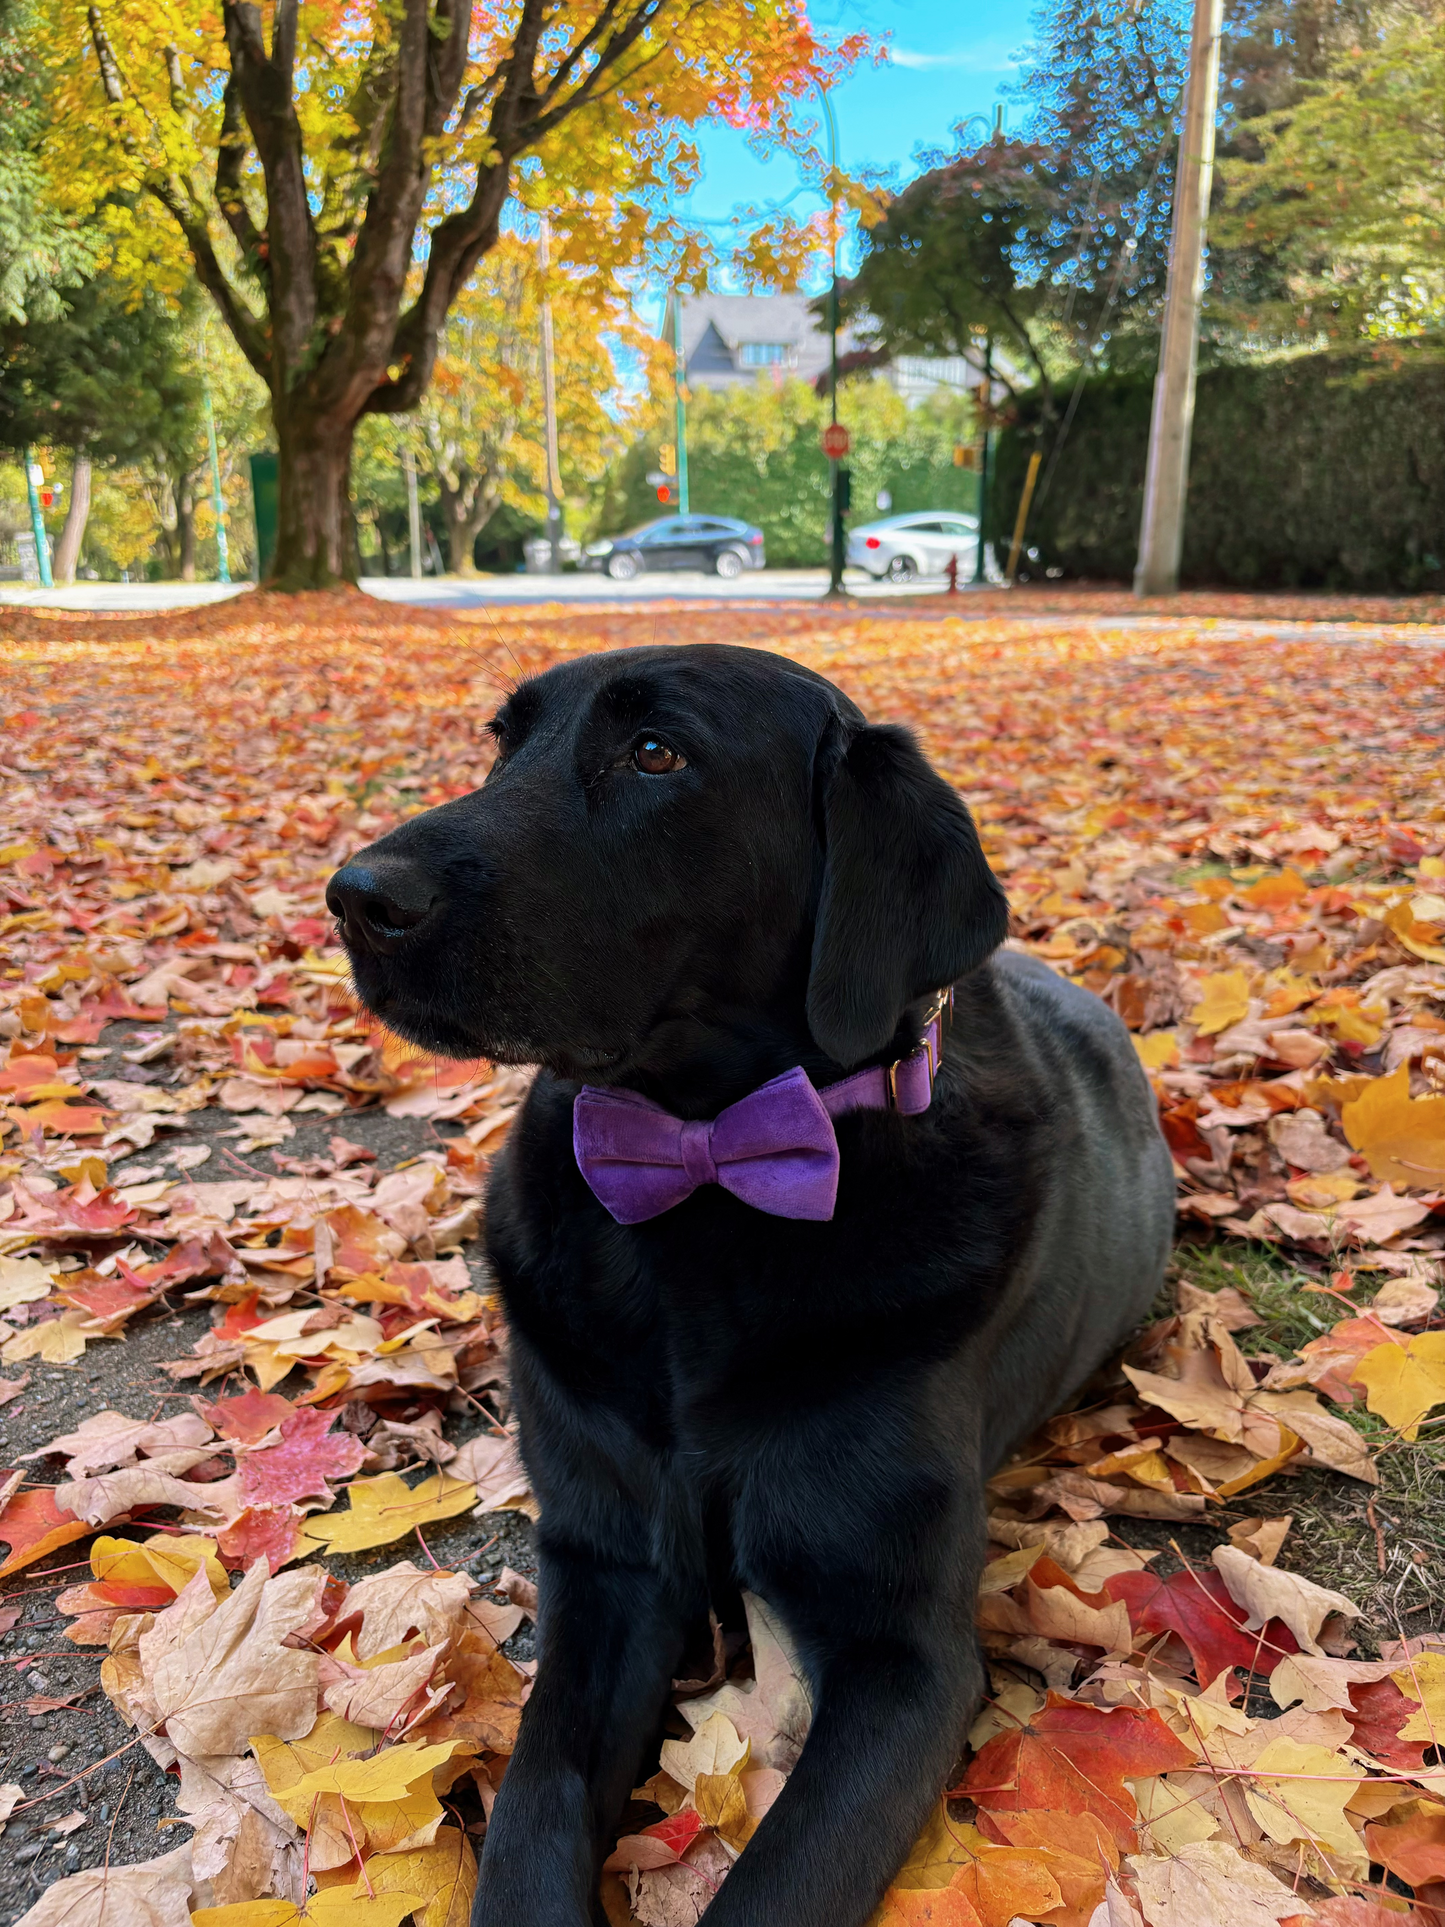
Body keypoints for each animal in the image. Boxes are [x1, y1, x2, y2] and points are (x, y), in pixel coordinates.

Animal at [327, 647, 1179, 1927]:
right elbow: (532, 1810)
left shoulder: (900, 1660)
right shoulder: (607, 1564)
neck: (703, 1169)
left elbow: (773, 1885)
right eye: (502, 744)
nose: (355, 895)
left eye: (654, 753)